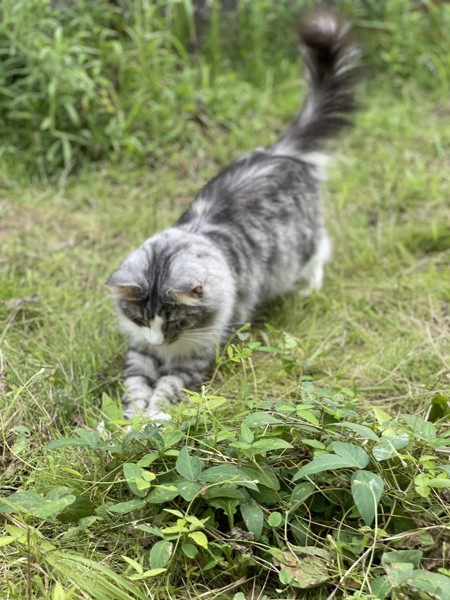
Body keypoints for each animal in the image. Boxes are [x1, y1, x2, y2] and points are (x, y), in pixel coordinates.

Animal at [105, 10, 358, 422]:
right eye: (142, 319)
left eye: (175, 321)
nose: (161, 339)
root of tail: (281, 152)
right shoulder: (140, 353)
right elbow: (136, 387)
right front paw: (129, 423)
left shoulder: (195, 357)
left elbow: (166, 390)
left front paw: (155, 419)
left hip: (300, 245)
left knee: (322, 247)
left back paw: (310, 287)